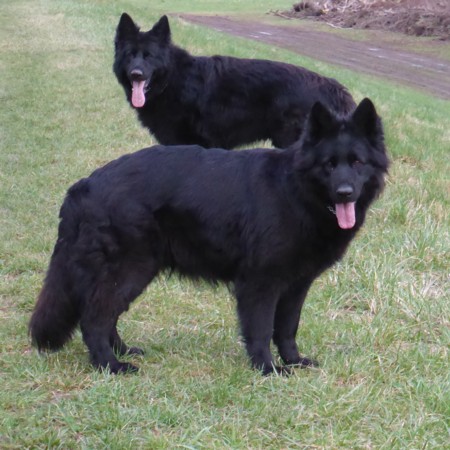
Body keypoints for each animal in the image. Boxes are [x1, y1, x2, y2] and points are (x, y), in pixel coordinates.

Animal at [29, 98, 388, 375]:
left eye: (357, 162)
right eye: (329, 165)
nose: (344, 193)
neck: (296, 192)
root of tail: (82, 186)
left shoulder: (296, 285)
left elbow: (287, 328)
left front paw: (294, 361)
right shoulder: (260, 283)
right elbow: (261, 329)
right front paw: (267, 368)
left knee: (107, 314)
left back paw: (122, 351)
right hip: (130, 270)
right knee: (94, 318)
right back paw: (110, 365)